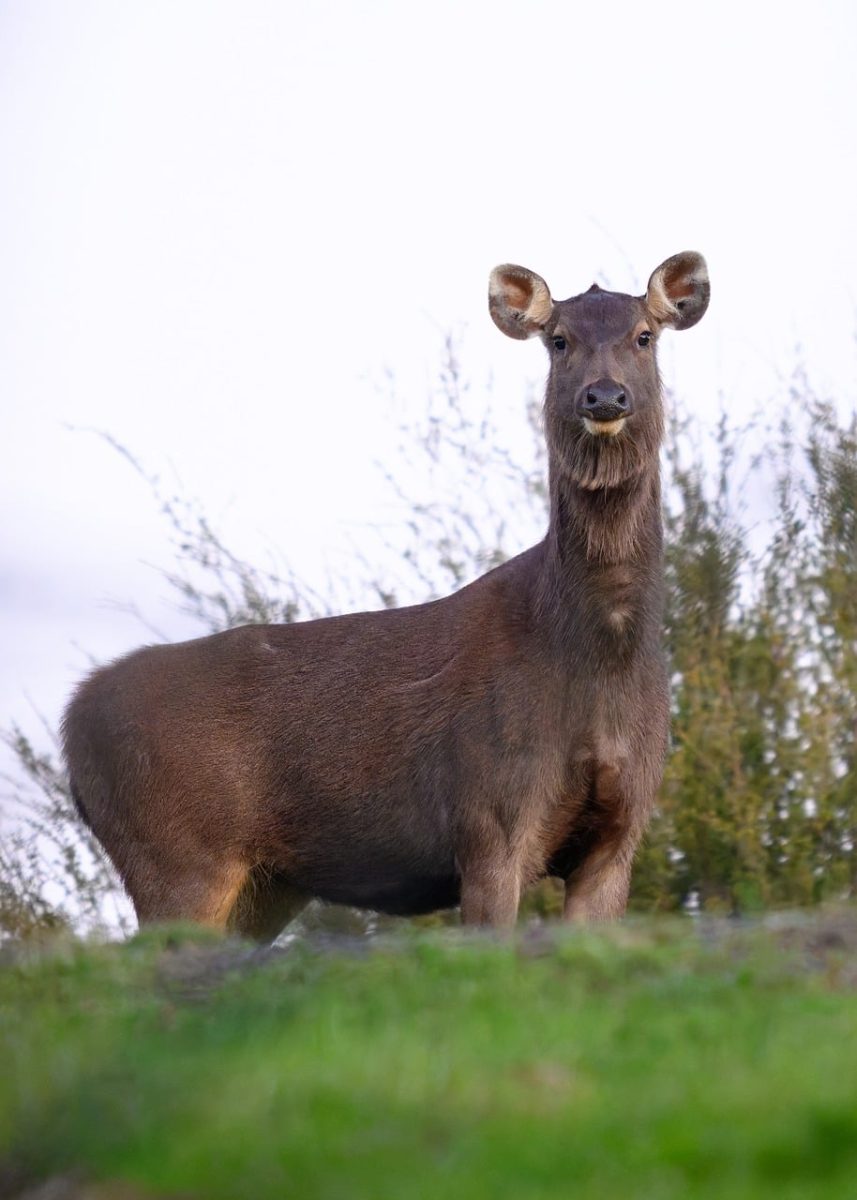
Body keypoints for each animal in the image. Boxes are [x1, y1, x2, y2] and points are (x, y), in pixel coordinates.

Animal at [62, 252, 709, 940]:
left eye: (644, 335)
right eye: (558, 340)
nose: (605, 395)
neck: (596, 667)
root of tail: (72, 726)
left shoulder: (619, 834)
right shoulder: (488, 819)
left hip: (262, 885)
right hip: (177, 853)